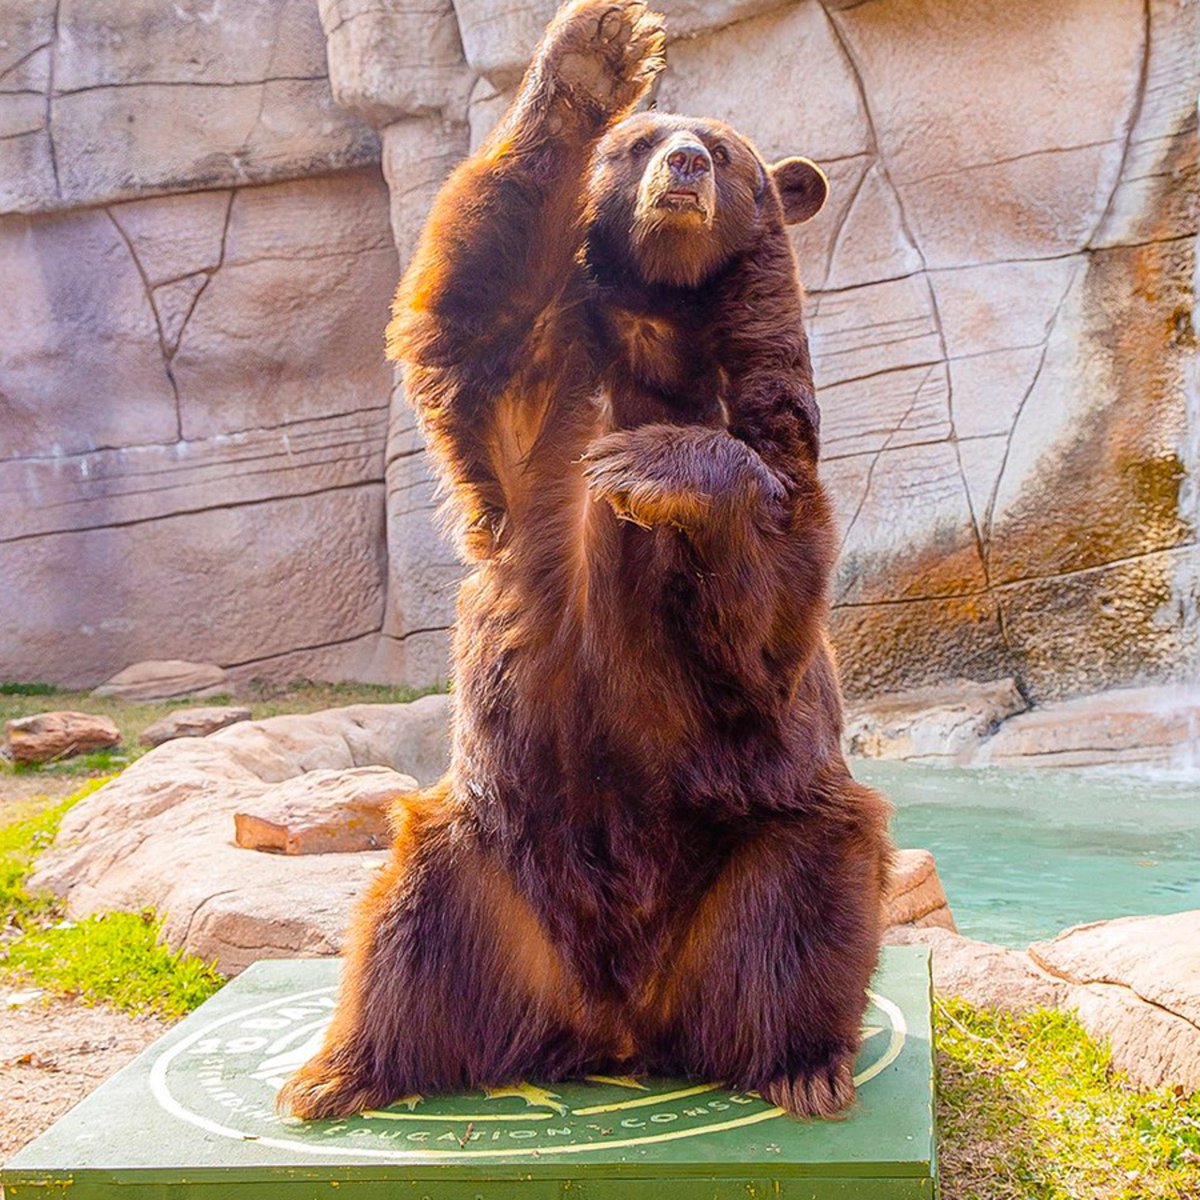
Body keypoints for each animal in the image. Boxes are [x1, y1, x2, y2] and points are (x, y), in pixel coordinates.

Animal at [278, 0, 892, 1122]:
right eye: (639, 143)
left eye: (726, 151)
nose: (684, 163)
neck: (664, 326)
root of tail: (618, 1016)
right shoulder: (534, 408)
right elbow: (468, 304)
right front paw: (593, 55)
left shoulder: (774, 453)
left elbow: (772, 601)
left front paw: (650, 466)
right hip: (492, 851)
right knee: (410, 926)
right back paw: (342, 1070)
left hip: (756, 832)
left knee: (807, 894)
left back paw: (802, 1062)